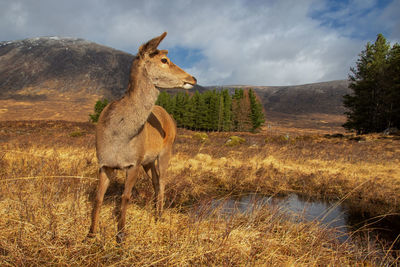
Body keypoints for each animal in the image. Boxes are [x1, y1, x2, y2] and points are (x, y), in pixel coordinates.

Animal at [89, 32, 198, 244]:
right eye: (164, 60)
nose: (193, 78)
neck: (119, 136)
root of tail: (170, 117)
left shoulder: (134, 162)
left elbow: (125, 197)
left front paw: (121, 236)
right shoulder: (104, 163)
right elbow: (98, 197)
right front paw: (90, 234)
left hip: (166, 150)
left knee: (163, 180)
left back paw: (160, 215)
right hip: (149, 160)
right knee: (156, 181)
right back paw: (156, 211)